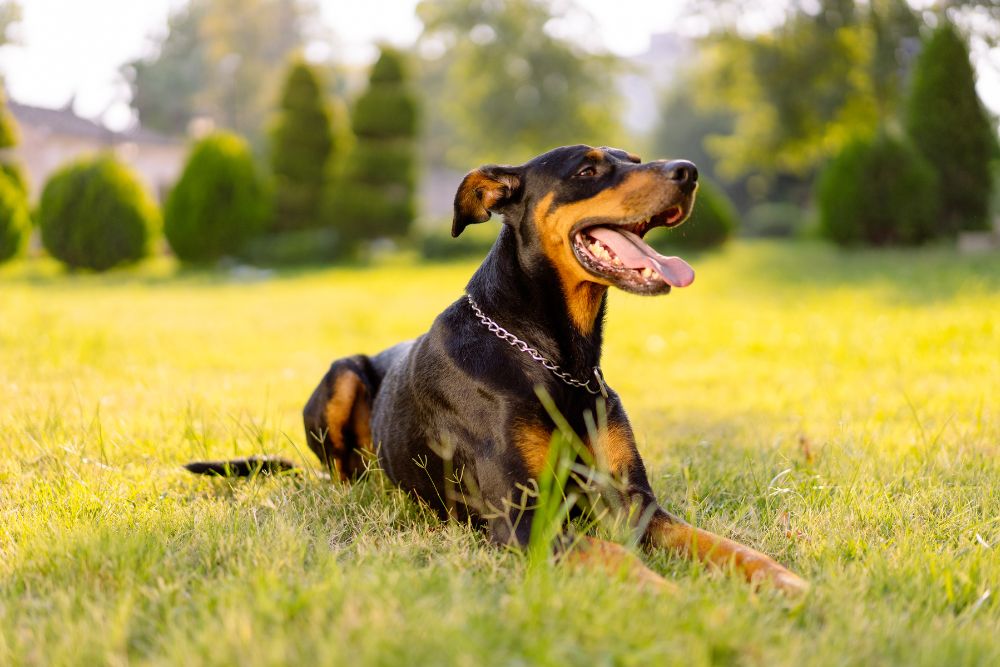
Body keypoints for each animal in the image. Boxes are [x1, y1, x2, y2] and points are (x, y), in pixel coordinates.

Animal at [188, 146, 808, 596]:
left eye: (633, 158)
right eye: (588, 170)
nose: (689, 172)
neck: (558, 359)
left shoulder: (633, 502)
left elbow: (722, 544)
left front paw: (783, 581)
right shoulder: (523, 519)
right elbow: (612, 555)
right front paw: (672, 598)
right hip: (342, 376)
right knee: (345, 475)